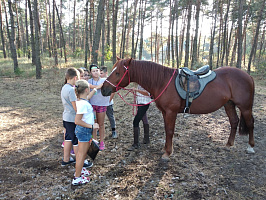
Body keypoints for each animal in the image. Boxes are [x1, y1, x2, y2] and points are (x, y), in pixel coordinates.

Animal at [101, 58, 255, 161]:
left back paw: (251, 147)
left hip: (245, 107)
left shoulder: (171, 112)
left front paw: (168, 153)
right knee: (234, 122)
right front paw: (165, 149)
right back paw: (229, 144)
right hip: (229, 104)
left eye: (117, 73)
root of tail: (248, 76)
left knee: (250, 124)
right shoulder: (165, 112)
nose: (103, 89)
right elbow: (166, 130)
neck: (162, 81)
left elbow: (170, 131)